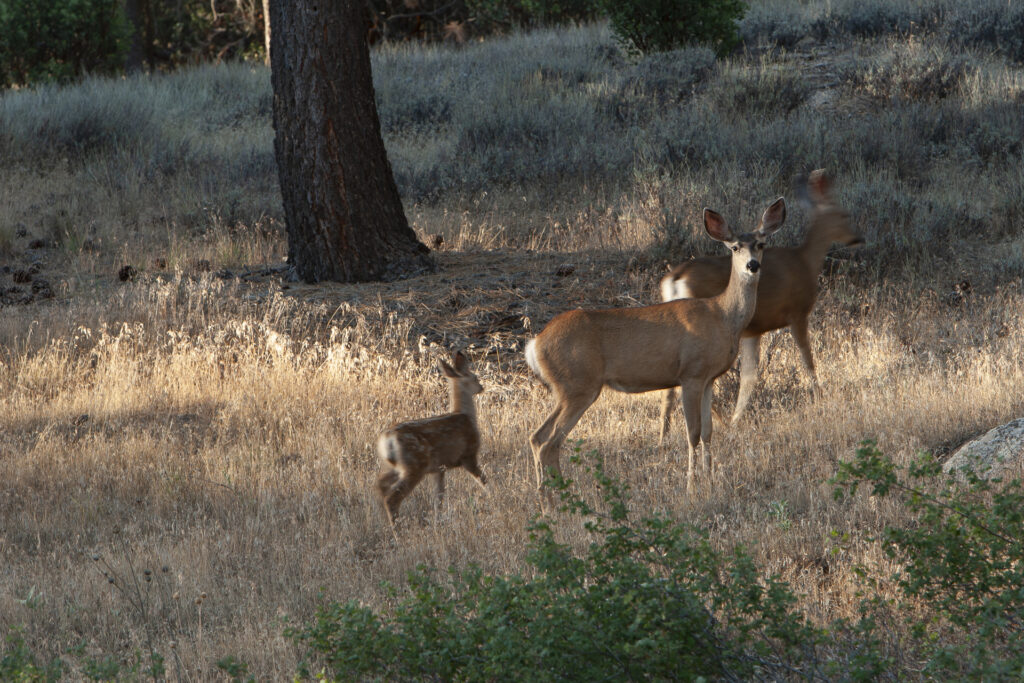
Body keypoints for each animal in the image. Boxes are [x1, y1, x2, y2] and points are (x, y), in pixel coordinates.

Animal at [375, 350, 486, 525]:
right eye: (475, 377)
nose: (481, 387)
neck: (466, 415)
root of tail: (387, 438)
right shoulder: (469, 455)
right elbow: (483, 480)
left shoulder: (439, 468)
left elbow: (439, 497)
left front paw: (438, 518)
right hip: (415, 465)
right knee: (392, 497)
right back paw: (397, 527)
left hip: (395, 465)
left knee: (379, 485)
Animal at [525, 199, 786, 503]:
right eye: (734, 247)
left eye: (761, 244)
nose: (752, 265)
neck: (722, 315)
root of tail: (535, 344)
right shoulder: (691, 373)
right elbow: (693, 433)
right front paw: (691, 486)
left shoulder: (709, 378)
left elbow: (709, 432)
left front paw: (710, 480)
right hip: (578, 384)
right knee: (548, 441)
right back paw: (554, 500)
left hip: (568, 387)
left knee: (540, 438)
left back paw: (551, 497)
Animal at [658, 170, 864, 436]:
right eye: (844, 215)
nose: (858, 238)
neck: (805, 261)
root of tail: (675, 277)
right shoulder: (797, 313)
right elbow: (807, 359)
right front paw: (820, 396)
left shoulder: (753, 330)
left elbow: (750, 375)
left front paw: (738, 418)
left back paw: (667, 430)